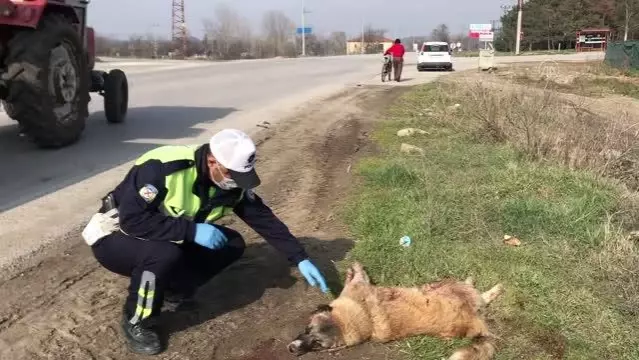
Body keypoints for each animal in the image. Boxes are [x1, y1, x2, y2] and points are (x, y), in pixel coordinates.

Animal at [288, 262, 502, 360]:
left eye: (316, 342)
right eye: (308, 332)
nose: (291, 349)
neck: (364, 315)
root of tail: (476, 323)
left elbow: (357, 277)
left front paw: (353, 270)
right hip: (444, 287)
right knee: (481, 295)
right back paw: (491, 286)